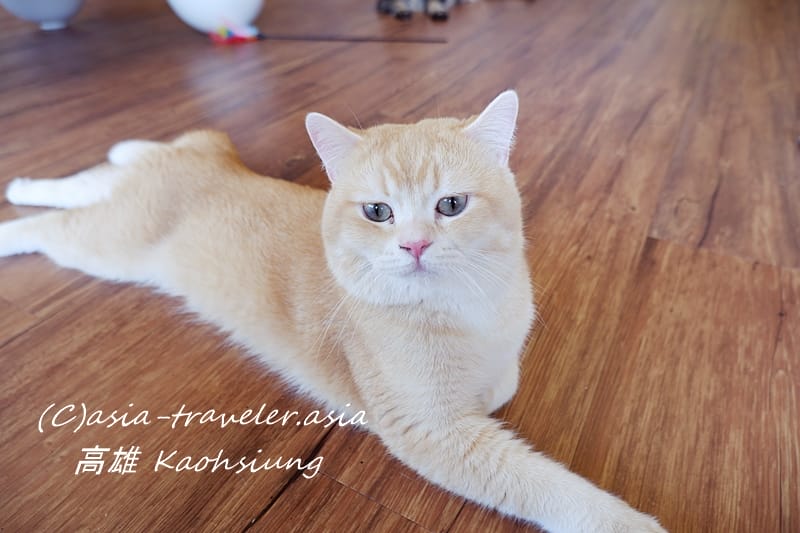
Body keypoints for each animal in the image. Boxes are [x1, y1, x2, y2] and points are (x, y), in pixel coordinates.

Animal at [0, 91, 666, 533]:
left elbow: (504, 380)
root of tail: (205, 168)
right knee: (55, 225)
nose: (414, 245)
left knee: (100, 176)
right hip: (110, 247)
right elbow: (550, 489)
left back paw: (71, 169)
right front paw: (629, 524)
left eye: (451, 205)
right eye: (377, 212)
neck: (466, 304)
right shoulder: (433, 431)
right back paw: (12, 222)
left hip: (149, 192)